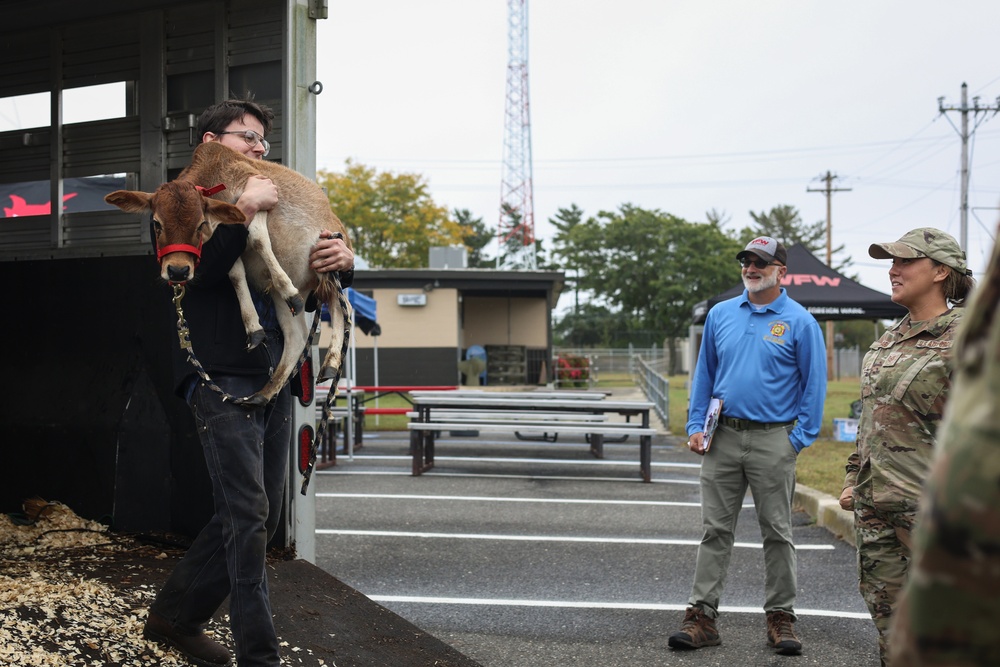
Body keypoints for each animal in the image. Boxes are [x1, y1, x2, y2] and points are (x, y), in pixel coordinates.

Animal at [105, 140, 354, 408]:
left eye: (200, 224)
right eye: (156, 223)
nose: (178, 269)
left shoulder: (258, 198)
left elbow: (258, 239)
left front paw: (287, 290)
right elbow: (234, 273)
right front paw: (254, 329)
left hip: (325, 260)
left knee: (344, 307)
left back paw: (330, 362)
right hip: (292, 290)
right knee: (296, 335)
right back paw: (264, 393)